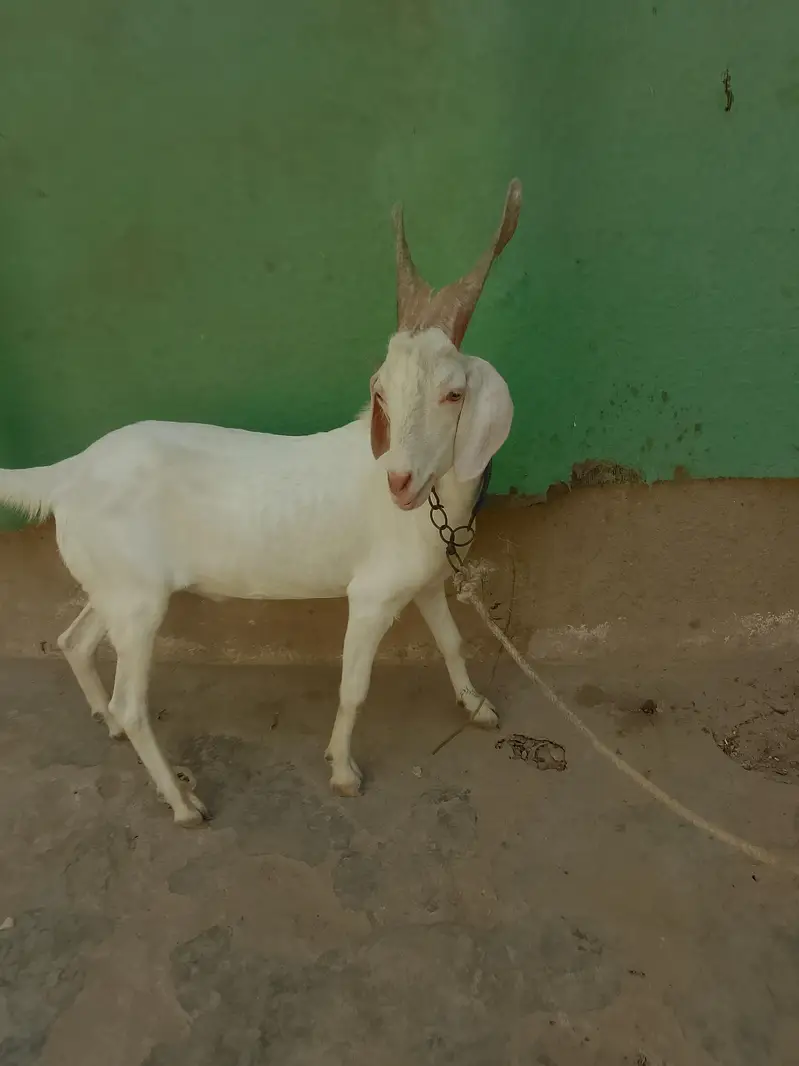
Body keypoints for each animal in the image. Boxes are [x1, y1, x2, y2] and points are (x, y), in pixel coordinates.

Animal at [0, 180, 522, 825]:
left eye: (454, 394)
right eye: (381, 391)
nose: (399, 481)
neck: (433, 505)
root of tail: (69, 472)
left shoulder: (423, 582)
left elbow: (452, 641)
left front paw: (477, 707)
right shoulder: (372, 594)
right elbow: (354, 687)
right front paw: (343, 772)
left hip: (117, 584)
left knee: (74, 641)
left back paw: (110, 726)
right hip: (138, 602)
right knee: (131, 704)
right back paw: (182, 802)